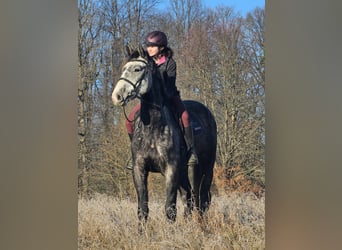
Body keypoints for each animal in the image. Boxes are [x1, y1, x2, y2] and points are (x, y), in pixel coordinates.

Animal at [112, 45, 218, 227]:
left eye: (137, 69)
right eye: (124, 68)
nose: (117, 96)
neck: (153, 126)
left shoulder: (171, 169)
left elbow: (170, 209)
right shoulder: (139, 169)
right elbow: (143, 209)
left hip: (204, 168)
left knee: (201, 199)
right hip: (184, 173)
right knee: (189, 198)